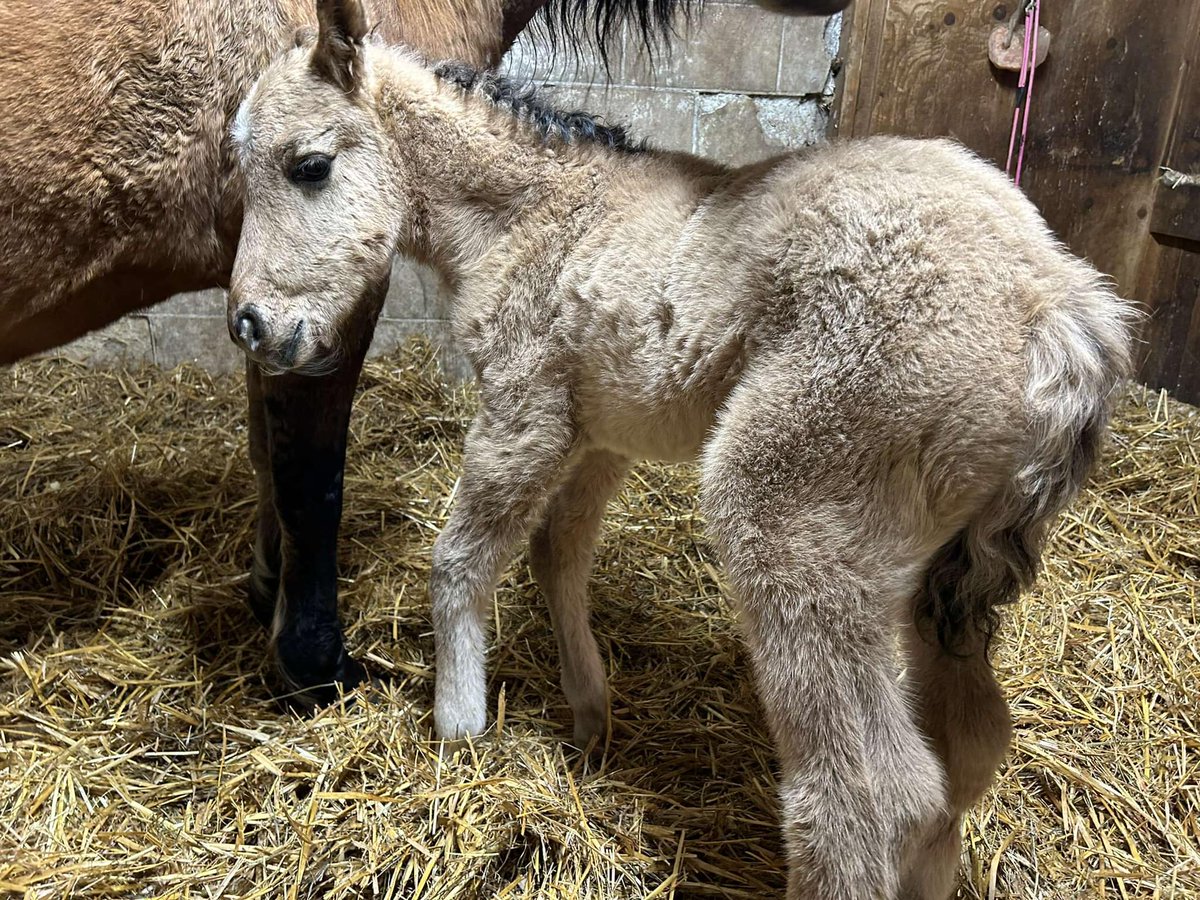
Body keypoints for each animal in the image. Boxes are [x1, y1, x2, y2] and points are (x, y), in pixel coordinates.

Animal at [2, 0, 854, 700]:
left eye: (308, 167)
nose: (251, 324)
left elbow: (270, 455)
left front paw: (269, 599)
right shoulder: (330, 306)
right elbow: (311, 478)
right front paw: (317, 669)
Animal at [231, 3, 1132, 897]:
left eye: (309, 166)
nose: (251, 325)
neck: (532, 212)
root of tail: (1059, 312)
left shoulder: (525, 404)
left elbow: (459, 560)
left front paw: (459, 731)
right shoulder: (604, 432)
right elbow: (557, 551)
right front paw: (589, 719)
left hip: (794, 512)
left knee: (873, 792)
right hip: (940, 569)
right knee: (968, 748)